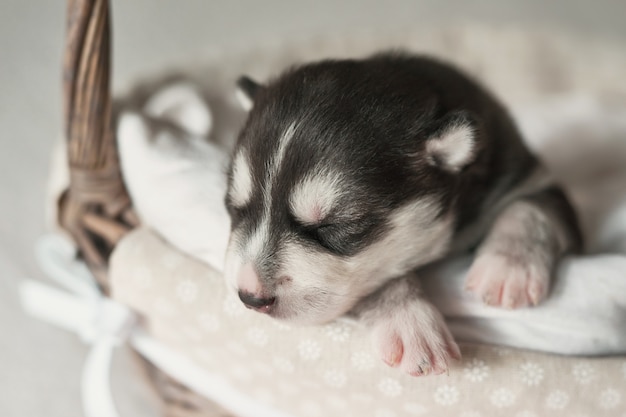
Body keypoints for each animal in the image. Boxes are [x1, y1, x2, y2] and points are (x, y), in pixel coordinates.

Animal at [224, 52, 580, 376]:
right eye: (234, 207)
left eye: (333, 227)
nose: (250, 297)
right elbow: (383, 275)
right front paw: (410, 323)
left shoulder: (527, 177)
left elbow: (530, 207)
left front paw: (508, 268)